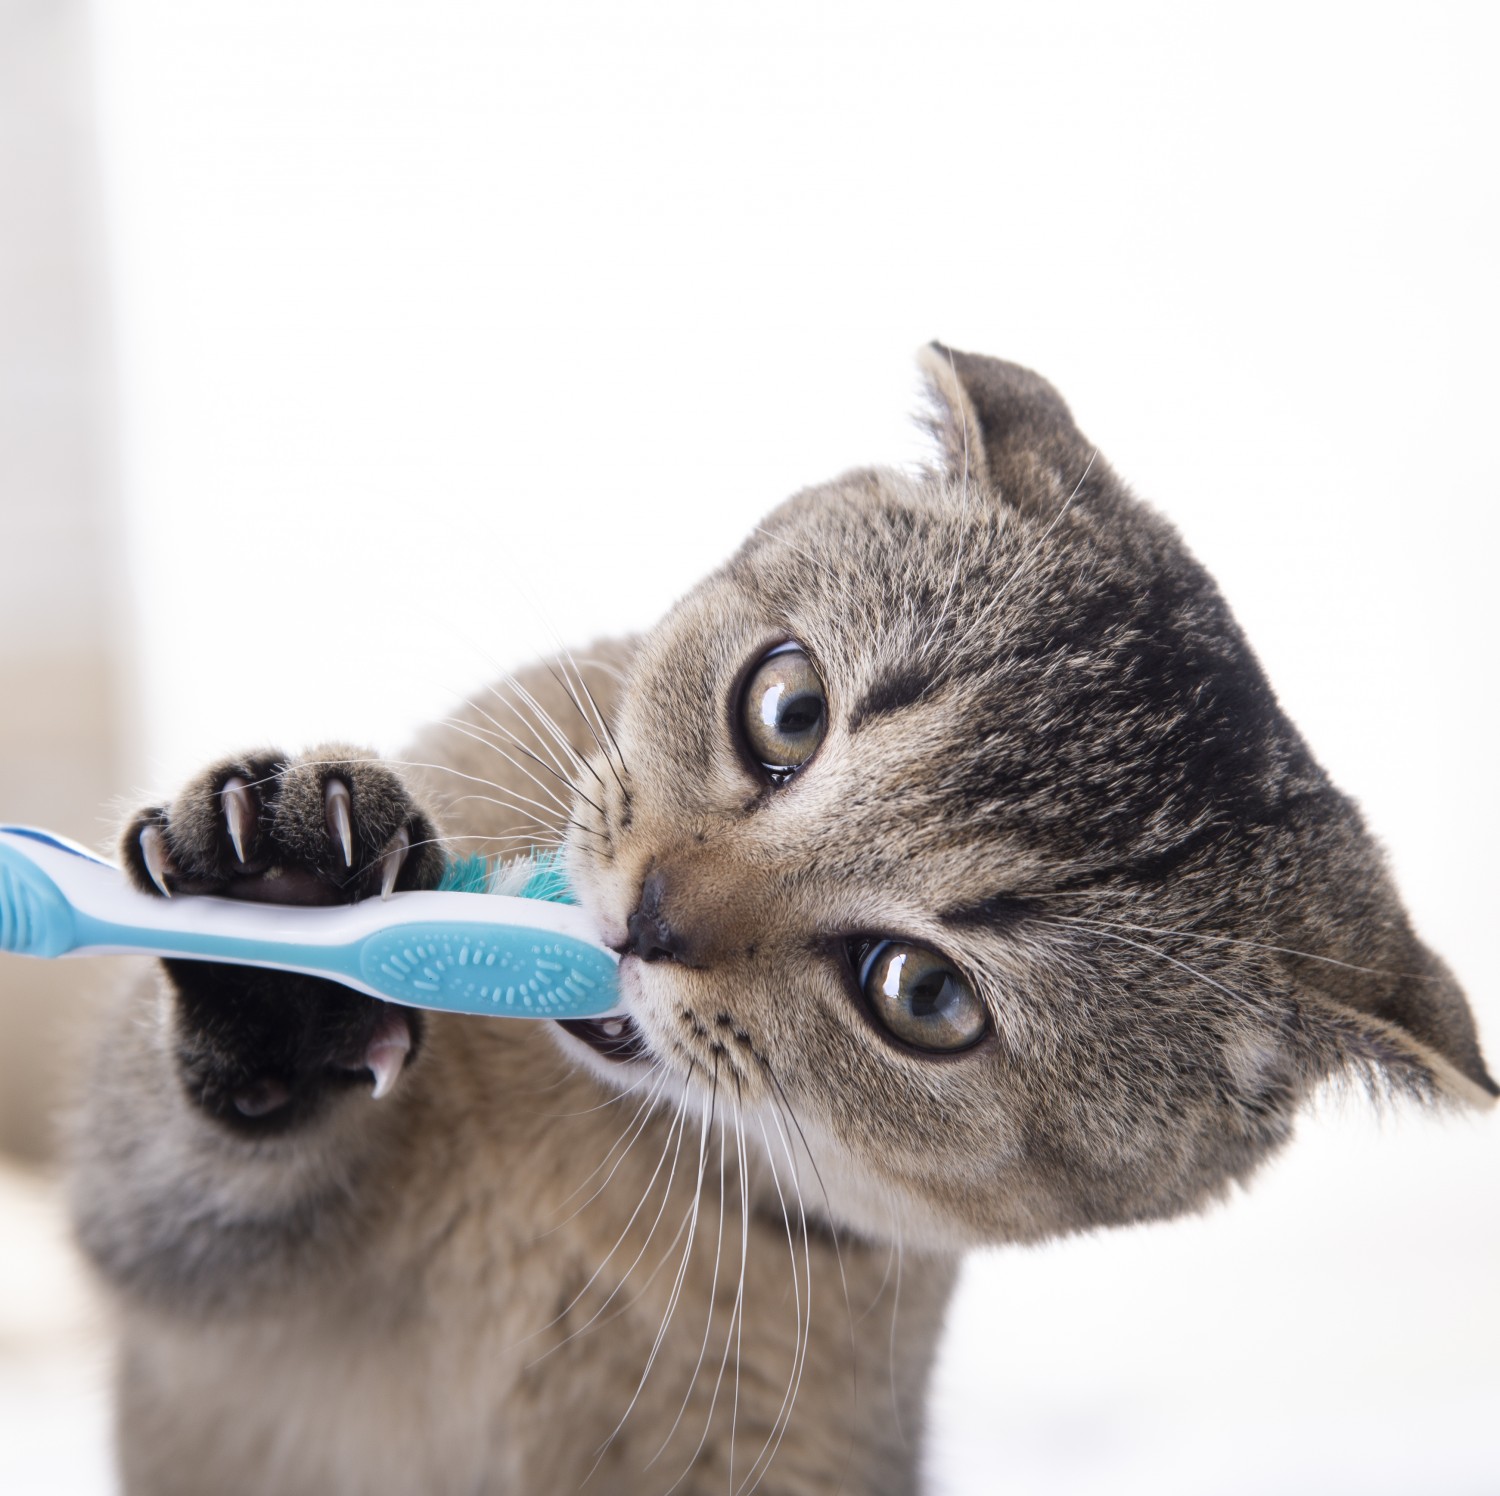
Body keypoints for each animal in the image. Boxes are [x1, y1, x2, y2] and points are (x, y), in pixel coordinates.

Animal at [64, 349, 1494, 1494]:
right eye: (788, 708)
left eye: (924, 993)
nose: (647, 918)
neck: (601, 1161)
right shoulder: (179, 1279)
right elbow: (172, 1169)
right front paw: (284, 916)